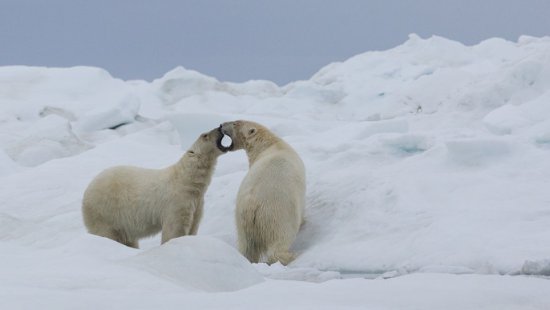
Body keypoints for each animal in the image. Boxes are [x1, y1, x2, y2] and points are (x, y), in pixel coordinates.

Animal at [81, 126, 230, 247]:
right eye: (205, 135)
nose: (220, 127)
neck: (187, 181)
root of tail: (87, 191)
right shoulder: (177, 202)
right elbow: (174, 230)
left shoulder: (197, 204)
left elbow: (193, 227)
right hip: (105, 211)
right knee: (106, 233)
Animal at [220, 120, 306, 266]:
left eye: (235, 122)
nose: (221, 125)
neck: (270, 145)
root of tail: (251, 207)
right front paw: (304, 222)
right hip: (277, 216)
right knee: (279, 243)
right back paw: (292, 255)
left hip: (241, 224)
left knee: (246, 247)